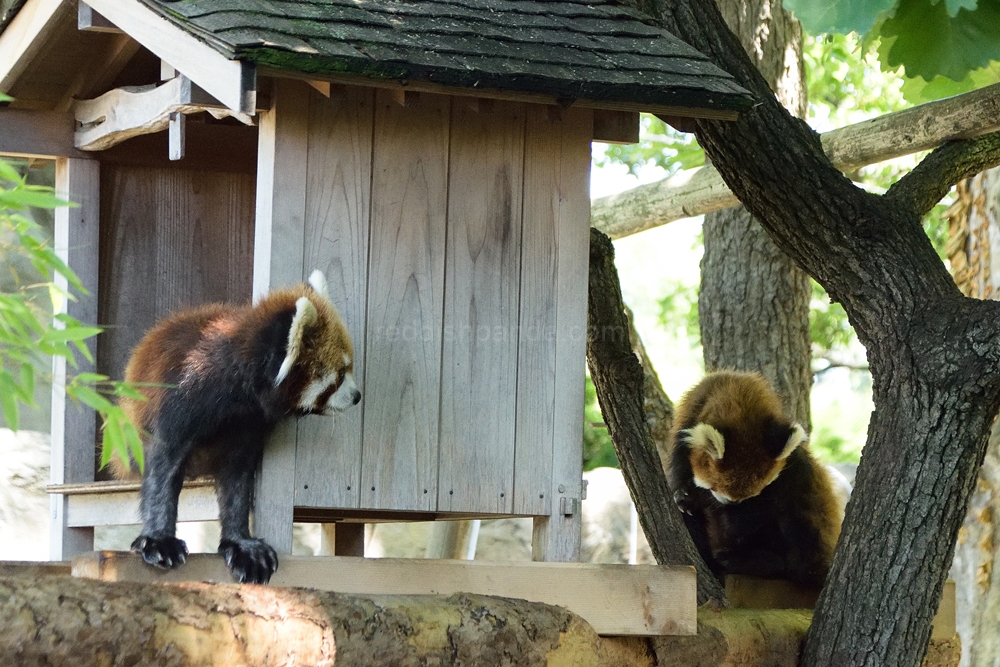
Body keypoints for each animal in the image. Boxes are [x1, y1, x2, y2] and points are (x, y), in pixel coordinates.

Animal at [112, 270, 360, 584]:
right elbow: (163, 470)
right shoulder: (181, 398)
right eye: (339, 375)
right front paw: (159, 541)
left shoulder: (248, 424)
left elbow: (236, 482)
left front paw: (243, 545)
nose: (357, 396)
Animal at [672, 370, 844, 596]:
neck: (735, 391)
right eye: (718, 491)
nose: (731, 505)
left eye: (754, 495)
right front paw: (687, 499)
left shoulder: (792, 471)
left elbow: (748, 519)